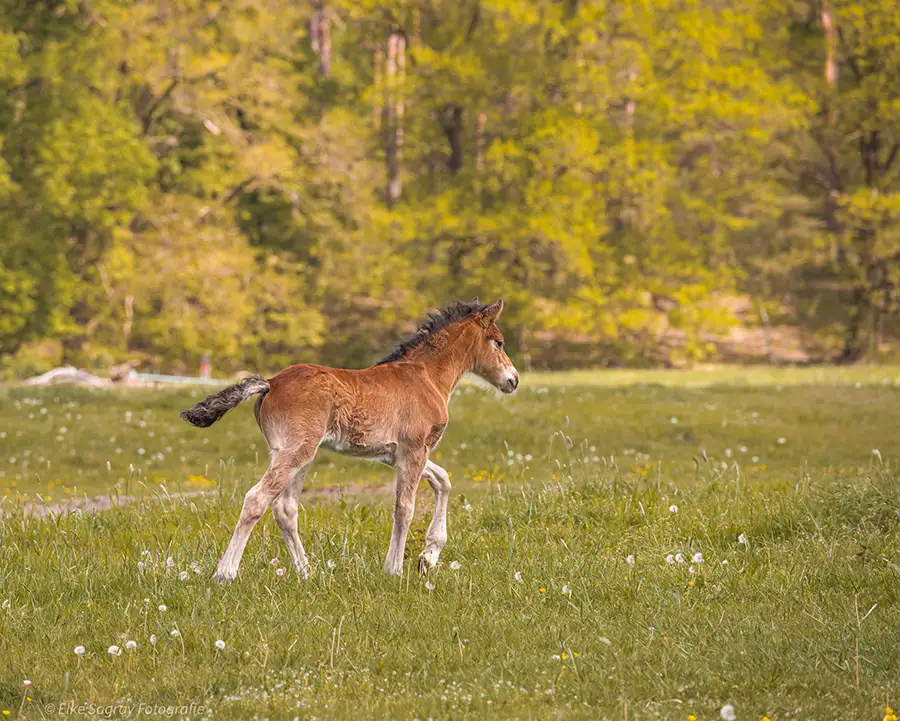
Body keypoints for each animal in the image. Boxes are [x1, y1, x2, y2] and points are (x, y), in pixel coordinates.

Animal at [180, 298, 518, 582]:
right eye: (499, 342)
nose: (513, 380)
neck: (426, 377)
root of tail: (271, 383)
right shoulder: (413, 450)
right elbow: (405, 507)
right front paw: (394, 569)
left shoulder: (398, 454)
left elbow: (443, 481)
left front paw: (428, 557)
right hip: (297, 451)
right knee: (257, 499)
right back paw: (225, 573)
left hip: (292, 453)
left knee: (285, 508)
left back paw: (307, 572)